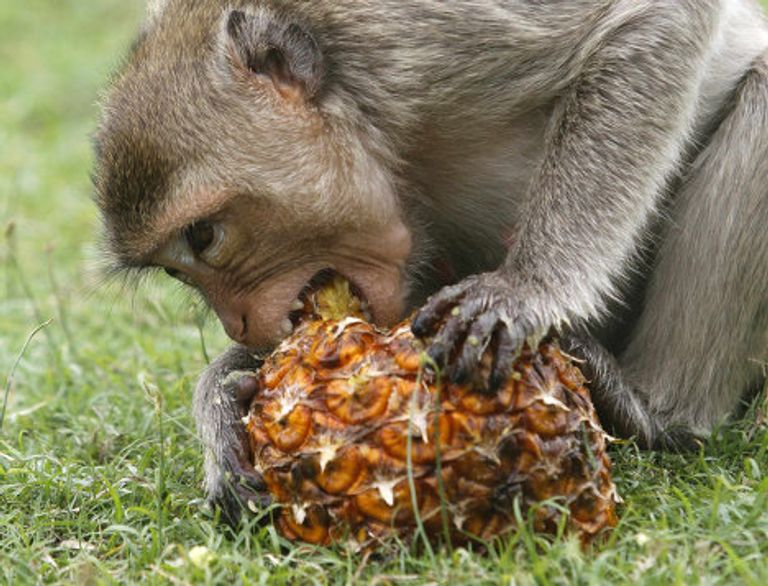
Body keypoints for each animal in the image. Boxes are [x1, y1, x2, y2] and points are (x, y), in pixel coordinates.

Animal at [92, 0, 768, 525]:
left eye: (203, 236)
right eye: (175, 269)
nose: (235, 322)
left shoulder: (421, 34)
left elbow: (653, 19)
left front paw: (525, 288)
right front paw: (224, 402)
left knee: (759, 89)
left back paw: (655, 413)